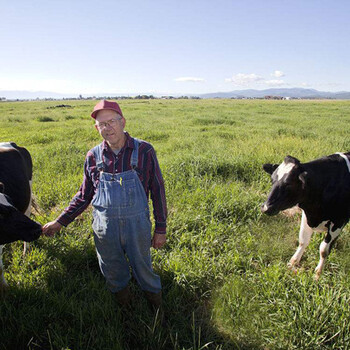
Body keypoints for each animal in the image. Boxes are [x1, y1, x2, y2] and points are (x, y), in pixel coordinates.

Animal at [262, 152, 350, 280]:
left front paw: (318, 274)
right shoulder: (307, 214)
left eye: (288, 184)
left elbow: (323, 249)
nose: (265, 207)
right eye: (272, 180)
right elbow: (303, 240)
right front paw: (293, 262)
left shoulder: (338, 222)